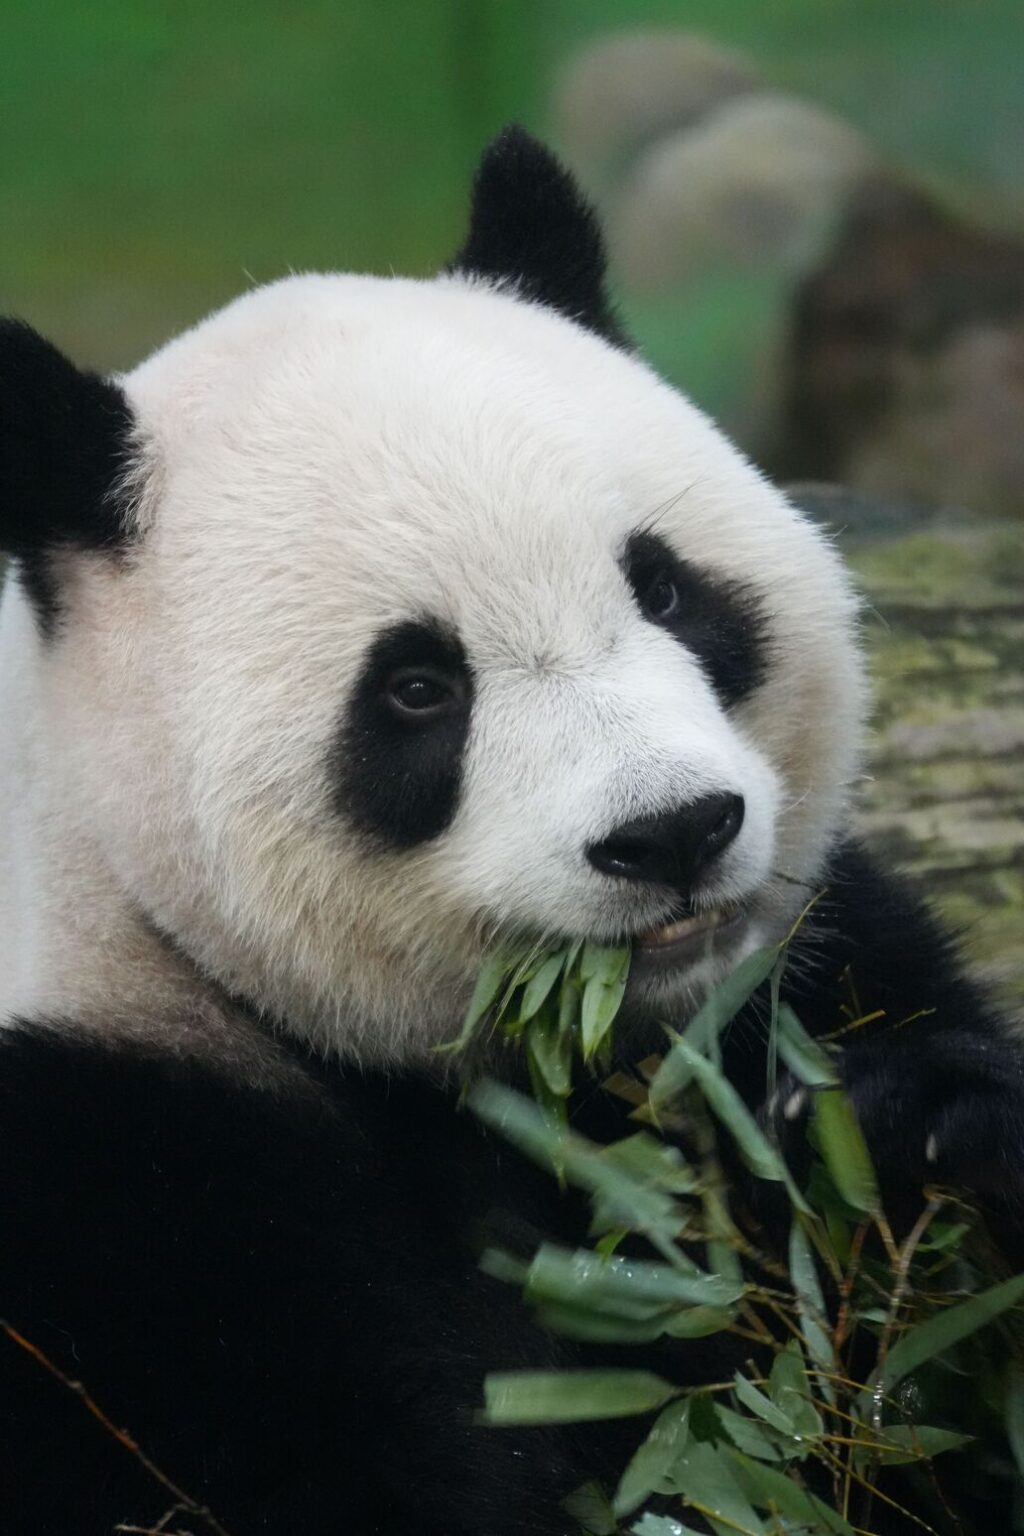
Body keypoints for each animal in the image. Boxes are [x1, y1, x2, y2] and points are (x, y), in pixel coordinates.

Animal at [0, 127, 1022, 1536]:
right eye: (418, 687)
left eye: (664, 588)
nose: (672, 833)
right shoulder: (118, 1194)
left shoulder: (804, 973)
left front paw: (916, 1132)